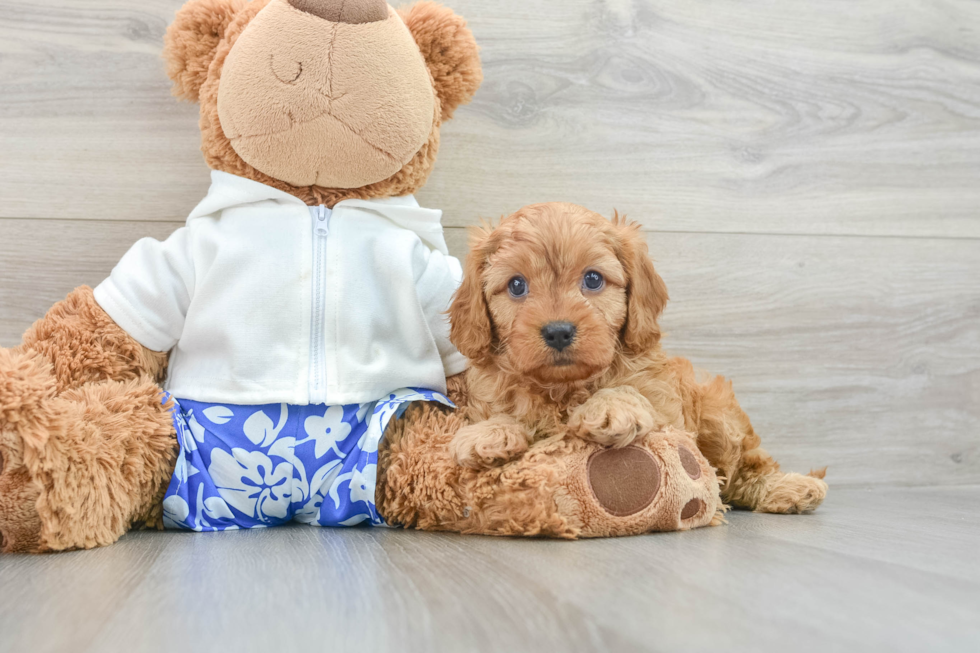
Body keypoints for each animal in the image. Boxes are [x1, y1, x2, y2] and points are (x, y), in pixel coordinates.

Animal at [450, 204, 828, 516]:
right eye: (516, 285)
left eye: (592, 279)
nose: (558, 331)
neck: (563, 388)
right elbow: (500, 415)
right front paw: (489, 432)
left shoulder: (669, 416)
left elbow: (633, 397)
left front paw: (611, 406)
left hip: (716, 410)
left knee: (745, 469)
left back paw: (790, 488)